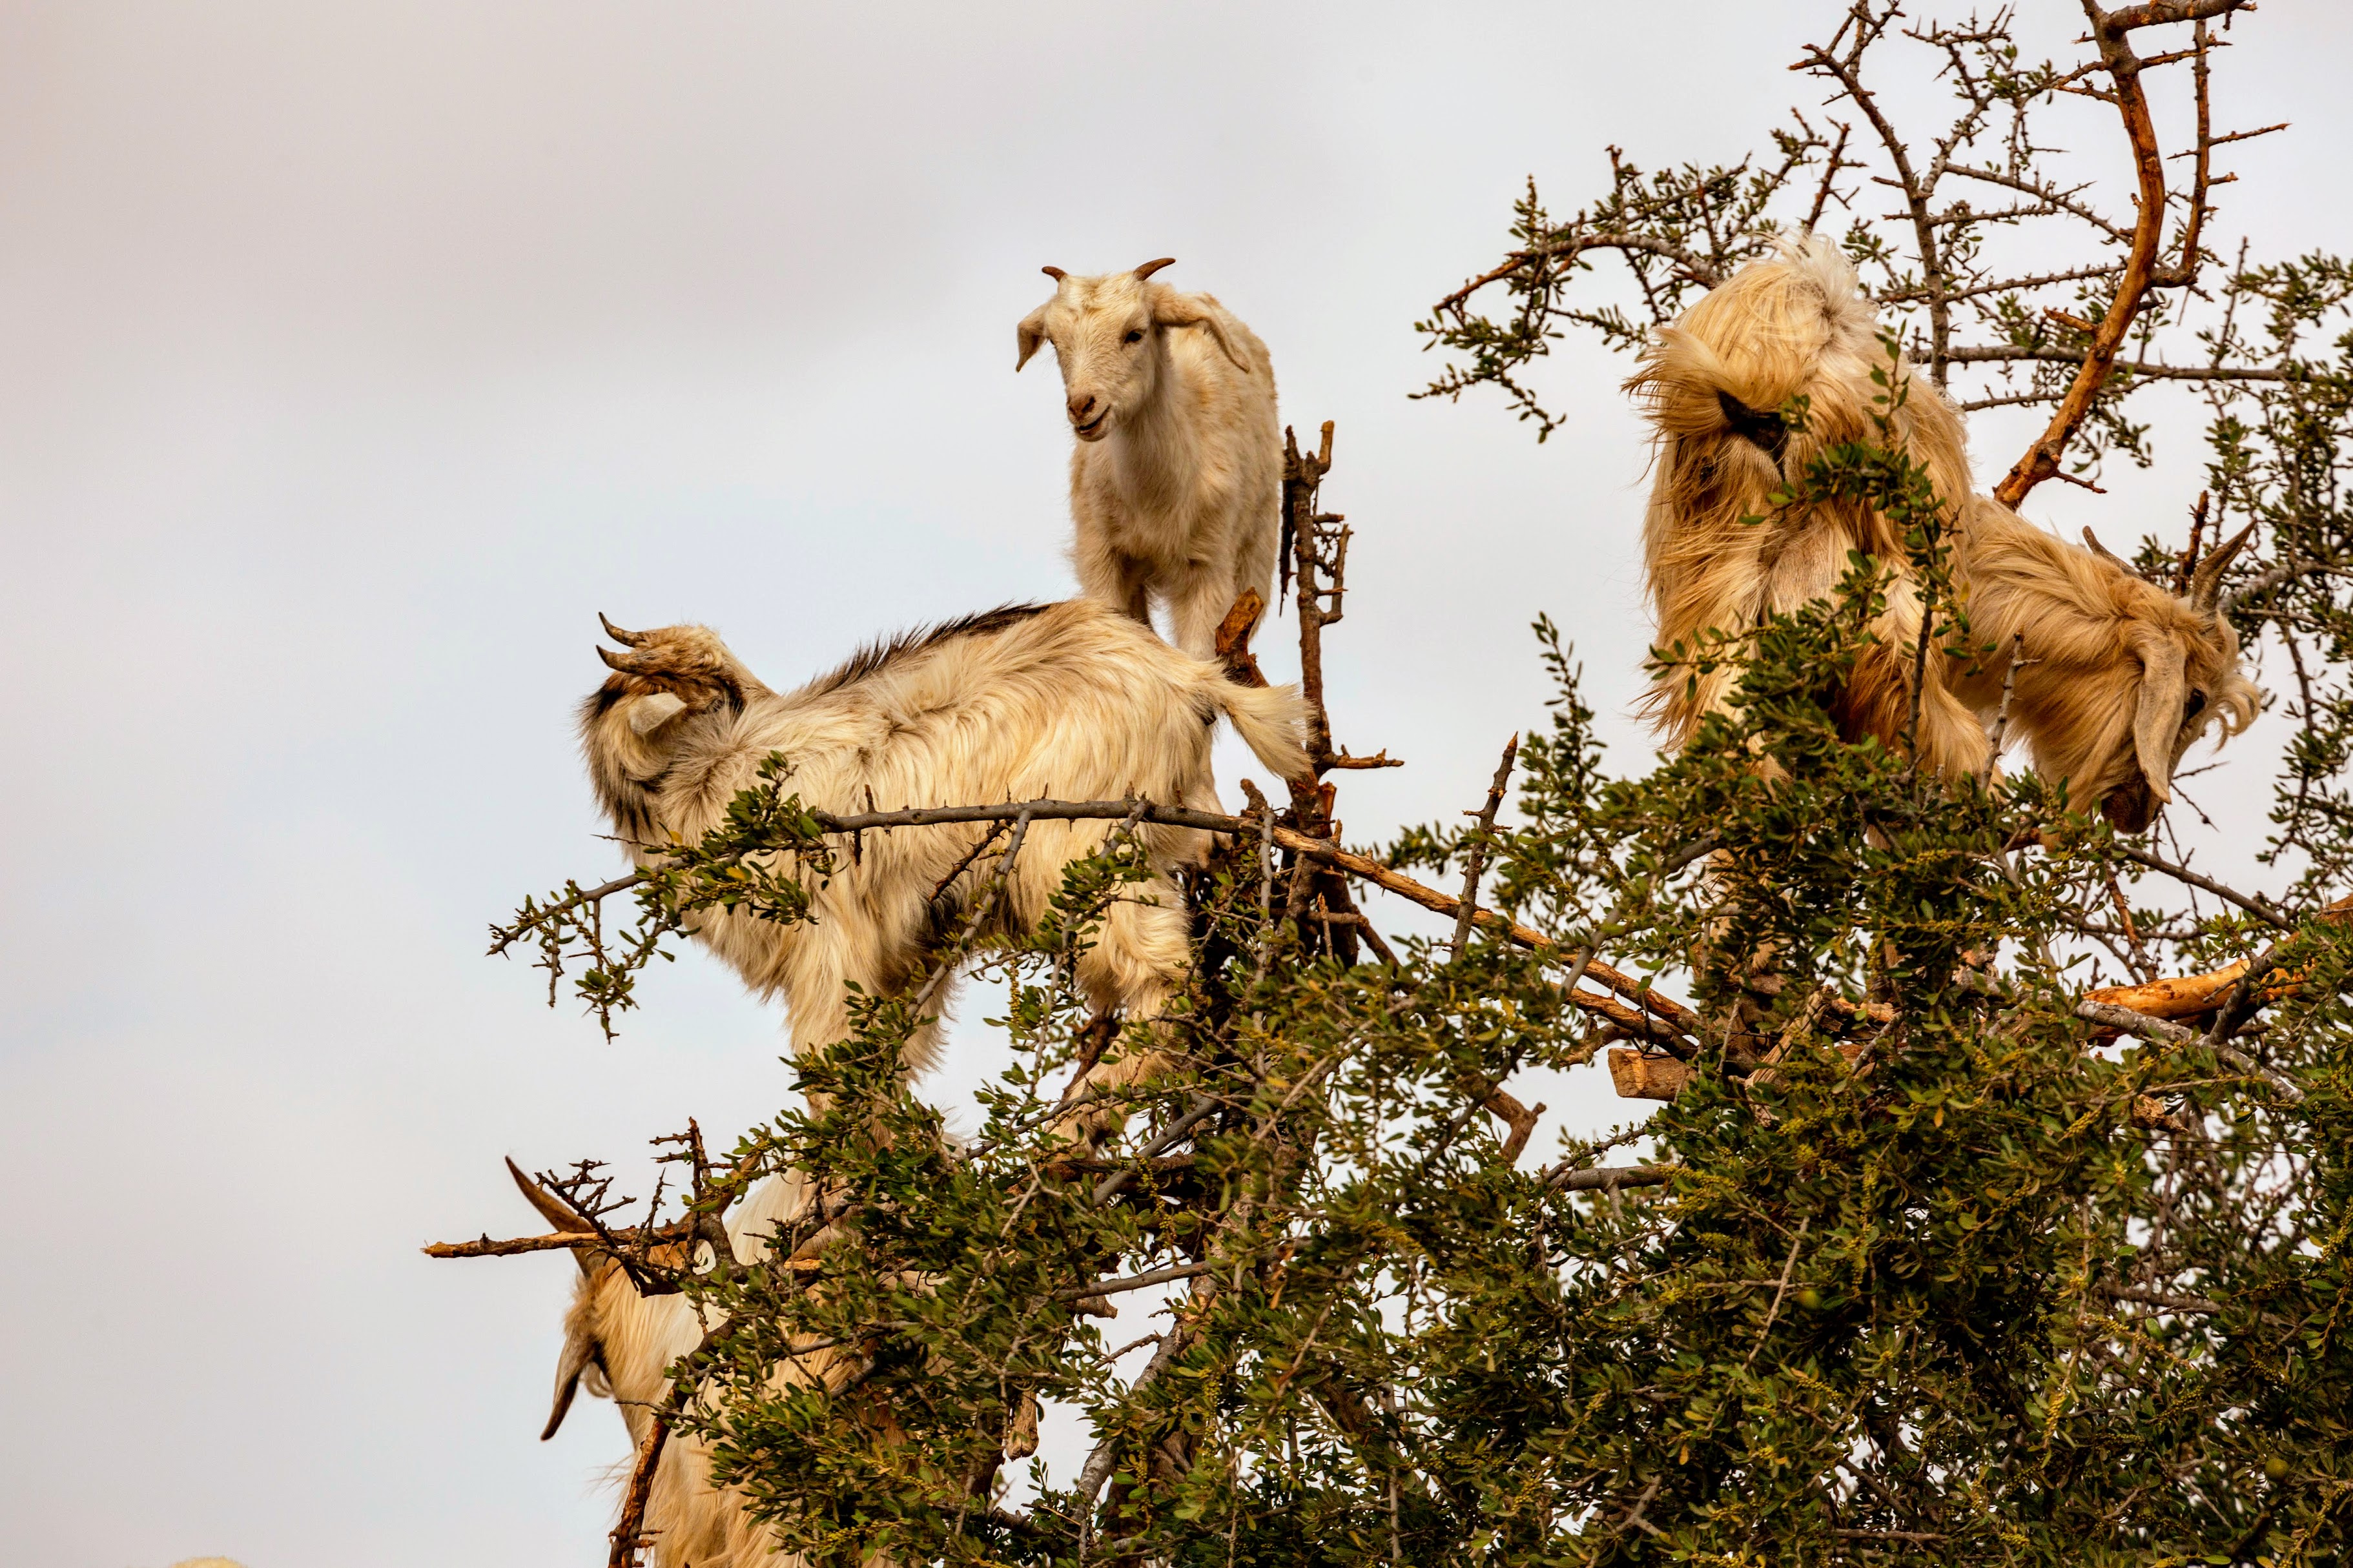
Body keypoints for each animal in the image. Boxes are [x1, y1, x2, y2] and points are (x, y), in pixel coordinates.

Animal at [574, 595, 1308, 1100]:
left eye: (703, 675)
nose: (760, 698)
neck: (712, 776)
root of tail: (1188, 679)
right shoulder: (903, 957)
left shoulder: (827, 942)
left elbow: (829, 1060)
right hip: (1176, 818)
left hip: (1071, 846)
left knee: (1159, 971)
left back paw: (1076, 1122)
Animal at [1007, 256, 1280, 658]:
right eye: (1055, 342)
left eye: (1135, 334)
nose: (1082, 407)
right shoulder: (1102, 556)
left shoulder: (1208, 565)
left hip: (1256, 554)